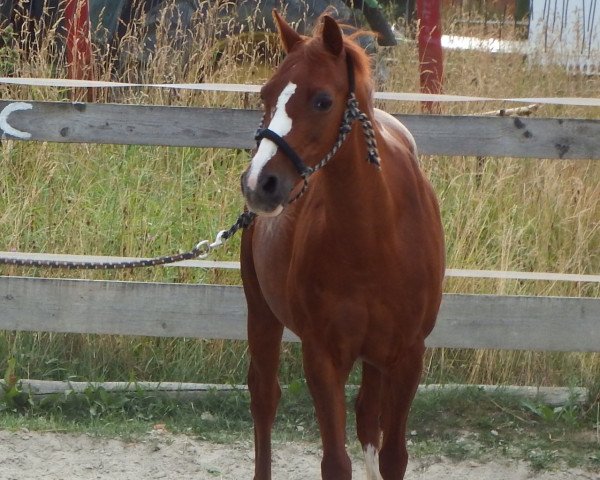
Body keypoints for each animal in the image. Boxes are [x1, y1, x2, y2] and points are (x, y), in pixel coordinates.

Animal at [240, 11, 446, 480]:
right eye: (266, 94)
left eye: (322, 101)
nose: (260, 183)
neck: (374, 237)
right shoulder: (323, 356)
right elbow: (335, 461)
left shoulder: (408, 357)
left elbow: (393, 456)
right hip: (261, 313)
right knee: (264, 398)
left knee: (367, 415)